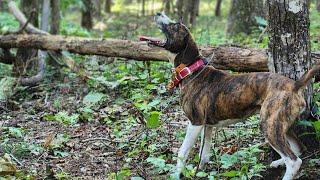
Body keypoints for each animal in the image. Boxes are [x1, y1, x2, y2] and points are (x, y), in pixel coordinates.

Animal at [148, 12, 320, 180]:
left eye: (174, 25)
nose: (157, 12)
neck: (192, 70)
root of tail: (295, 85)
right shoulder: (207, 126)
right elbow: (204, 153)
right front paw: (200, 172)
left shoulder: (195, 122)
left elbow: (182, 152)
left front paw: (177, 174)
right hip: (282, 125)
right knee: (298, 149)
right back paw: (278, 162)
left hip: (269, 124)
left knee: (293, 161)